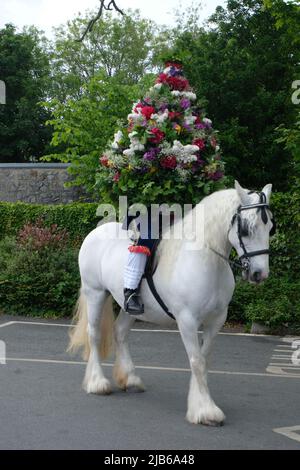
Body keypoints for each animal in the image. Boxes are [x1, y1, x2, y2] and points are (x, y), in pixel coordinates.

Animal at [68, 180, 274, 426]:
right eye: (245, 229)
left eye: (271, 228)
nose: (259, 274)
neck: (206, 260)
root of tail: (96, 232)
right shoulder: (187, 320)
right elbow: (196, 361)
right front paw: (206, 410)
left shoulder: (216, 321)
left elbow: (204, 360)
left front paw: (198, 403)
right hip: (95, 293)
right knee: (94, 334)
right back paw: (97, 382)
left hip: (130, 308)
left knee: (120, 332)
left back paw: (130, 378)